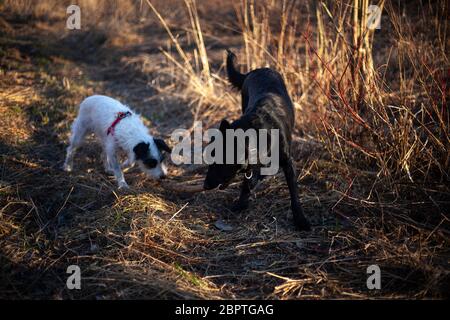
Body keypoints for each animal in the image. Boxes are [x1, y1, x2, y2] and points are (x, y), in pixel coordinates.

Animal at [203, 49, 312, 230]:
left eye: (219, 162)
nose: (205, 186)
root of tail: (256, 70)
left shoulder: (287, 162)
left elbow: (294, 194)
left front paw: (301, 220)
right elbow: (247, 182)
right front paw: (241, 203)